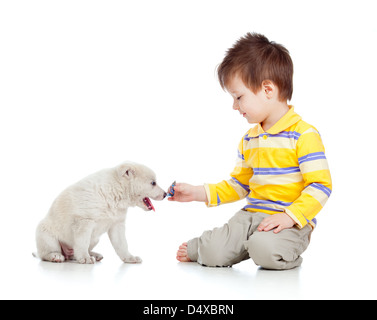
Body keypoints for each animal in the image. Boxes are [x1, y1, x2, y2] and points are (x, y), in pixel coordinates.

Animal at [35, 161, 166, 264]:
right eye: (153, 183)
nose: (165, 194)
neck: (116, 191)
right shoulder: (84, 222)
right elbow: (82, 243)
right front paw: (85, 258)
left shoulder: (117, 225)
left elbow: (122, 245)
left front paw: (129, 258)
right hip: (46, 236)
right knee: (45, 254)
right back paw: (55, 256)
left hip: (95, 239)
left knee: (74, 254)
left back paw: (94, 255)